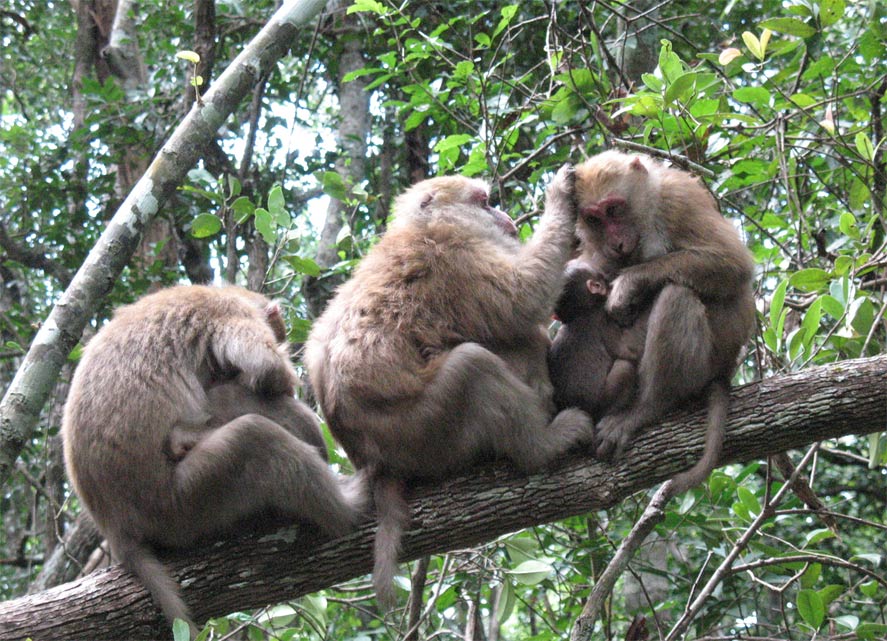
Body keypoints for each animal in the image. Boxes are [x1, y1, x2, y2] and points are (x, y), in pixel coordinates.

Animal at [62, 284, 366, 632]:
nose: (222, 372)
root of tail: (116, 529)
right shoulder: (230, 311)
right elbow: (267, 370)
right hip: (185, 504)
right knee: (254, 437)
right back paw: (347, 509)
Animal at [306, 165, 596, 604]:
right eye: (484, 201)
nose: (505, 217)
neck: (428, 225)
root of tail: (375, 463)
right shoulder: (454, 256)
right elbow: (521, 299)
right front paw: (561, 198)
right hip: (424, 432)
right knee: (474, 366)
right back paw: (540, 446)